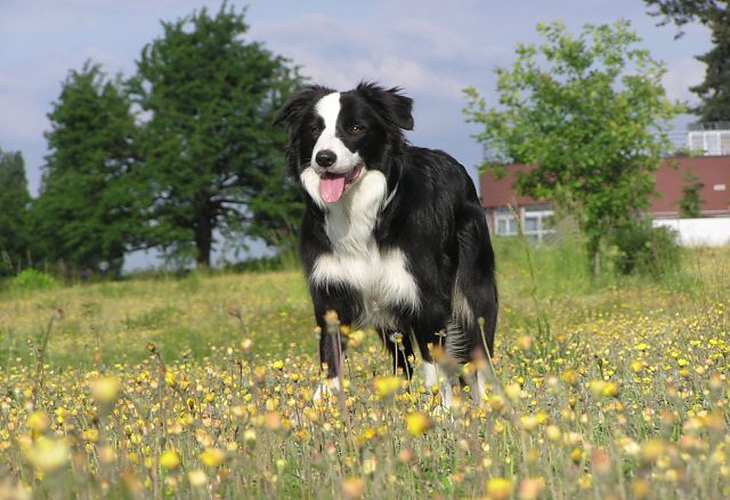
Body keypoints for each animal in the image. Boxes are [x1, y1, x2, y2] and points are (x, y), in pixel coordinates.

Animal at [272, 83, 494, 406]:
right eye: (314, 129)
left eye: (356, 128)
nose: (324, 158)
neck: (359, 211)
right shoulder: (332, 292)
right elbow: (331, 358)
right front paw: (321, 408)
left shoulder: (425, 295)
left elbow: (436, 364)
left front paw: (442, 410)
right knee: (403, 360)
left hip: (474, 287)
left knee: (478, 348)